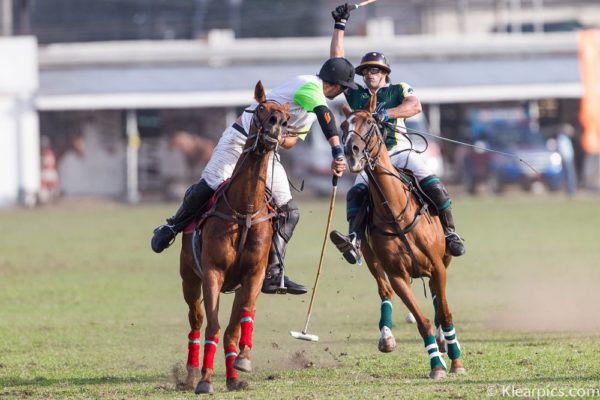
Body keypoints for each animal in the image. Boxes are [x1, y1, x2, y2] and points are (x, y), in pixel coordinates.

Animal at [178, 81, 290, 394]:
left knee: (232, 326)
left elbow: (237, 323)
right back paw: (192, 374)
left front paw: (242, 363)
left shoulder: (254, 275)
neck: (244, 210)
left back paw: (231, 376)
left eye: (287, 117)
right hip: (189, 279)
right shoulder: (212, 273)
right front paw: (205, 380)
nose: (276, 126)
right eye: (261, 108)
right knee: (196, 321)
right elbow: (213, 326)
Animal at [340, 95, 466, 380]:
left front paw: (456, 361)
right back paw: (387, 337)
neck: (395, 211)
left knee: (437, 297)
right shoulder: (397, 274)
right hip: (372, 259)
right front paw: (436, 366)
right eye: (343, 126)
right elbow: (422, 321)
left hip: (444, 259)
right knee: (384, 290)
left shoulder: (438, 266)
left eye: (371, 123)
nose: (351, 151)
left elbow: (445, 313)